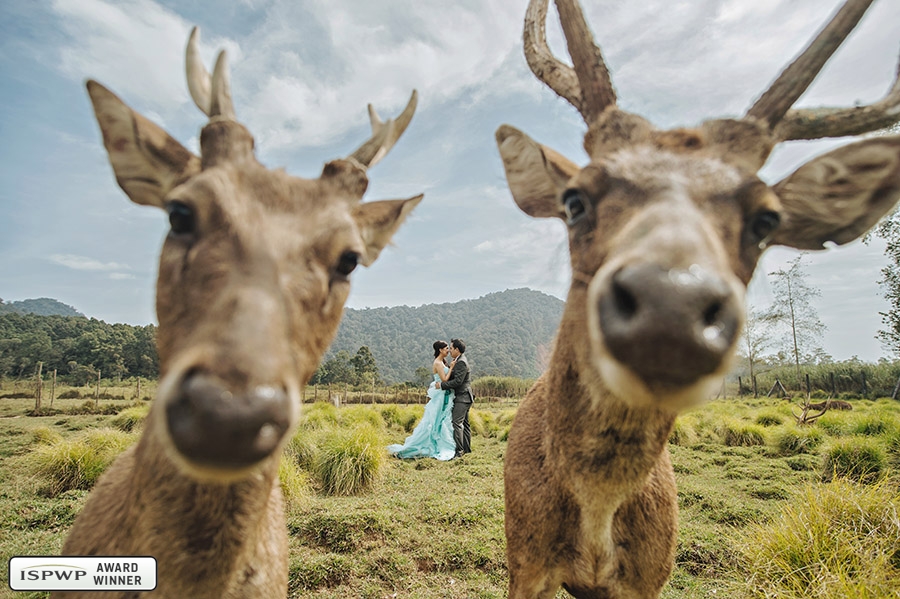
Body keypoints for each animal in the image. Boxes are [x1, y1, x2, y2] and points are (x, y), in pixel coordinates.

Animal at [496, 1, 900, 599]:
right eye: (575, 200)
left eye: (766, 220)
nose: (669, 307)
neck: (596, 520)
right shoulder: (525, 560)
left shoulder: (651, 572)